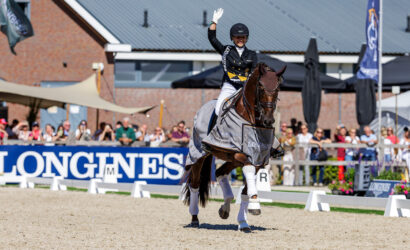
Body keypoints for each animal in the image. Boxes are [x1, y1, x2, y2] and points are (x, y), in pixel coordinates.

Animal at [183, 62, 286, 232]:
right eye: (260, 86)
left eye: (277, 88)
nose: (268, 120)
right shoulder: (240, 154)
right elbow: (248, 171)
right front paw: (254, 205)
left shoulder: (258, 159)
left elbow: (246, 190)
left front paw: (243, 221)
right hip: (199, 154)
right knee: (195, 185)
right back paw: (194, 218)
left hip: (231, 160)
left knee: (220, 173)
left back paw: (225, 209)